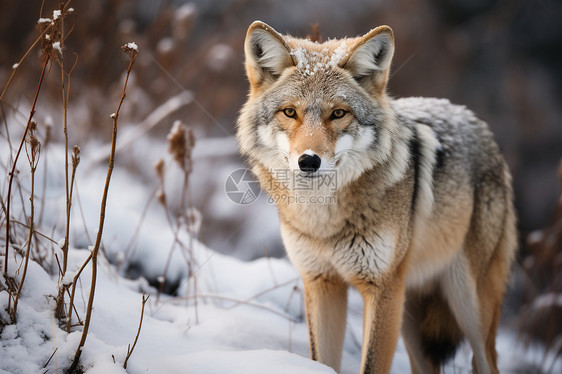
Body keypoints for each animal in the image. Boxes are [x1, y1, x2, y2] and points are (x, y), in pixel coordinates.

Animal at [234, 21, 516, 374]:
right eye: (290, 112)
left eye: (338, 113)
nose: (309, 161)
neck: (323, 219)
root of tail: (475, 120)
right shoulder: (321, 284)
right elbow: (321, 360)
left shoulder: (382, 289)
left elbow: (371, 364)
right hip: (411, 315)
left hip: (467, 305)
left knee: (487, 360)